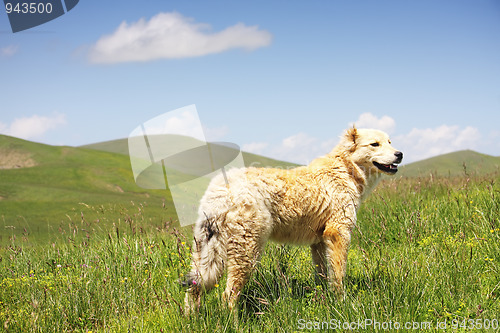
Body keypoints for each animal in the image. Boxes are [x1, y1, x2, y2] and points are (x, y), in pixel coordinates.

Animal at [182, 126, 400, 312]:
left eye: (390, 142)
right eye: (374, 144)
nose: (400, 154)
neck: (346, 169)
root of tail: (221, 187)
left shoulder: (319, 241)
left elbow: (322, 275)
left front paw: (324, 299)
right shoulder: (338, 233)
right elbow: (338, 275)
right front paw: (341, 303)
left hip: (206, 251)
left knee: (193, 289)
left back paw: (192, 320)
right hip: (247, 251)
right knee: (227, 296)